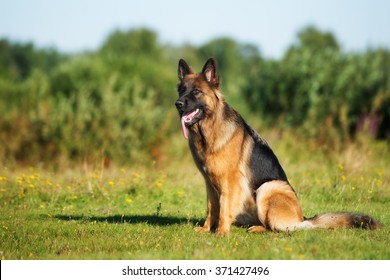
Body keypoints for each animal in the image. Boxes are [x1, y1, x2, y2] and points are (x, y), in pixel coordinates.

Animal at [175, 58, 382, 235]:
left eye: (196, 92)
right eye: (181, 90)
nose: (177, 104)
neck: (208, 130)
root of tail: (303, 219)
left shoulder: (230, 182)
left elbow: (224, 207)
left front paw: (221, 233)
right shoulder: (209, 183)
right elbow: (212, 207)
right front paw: (206, 229)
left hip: (268, 188)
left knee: (275, 227)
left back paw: (259, 228)